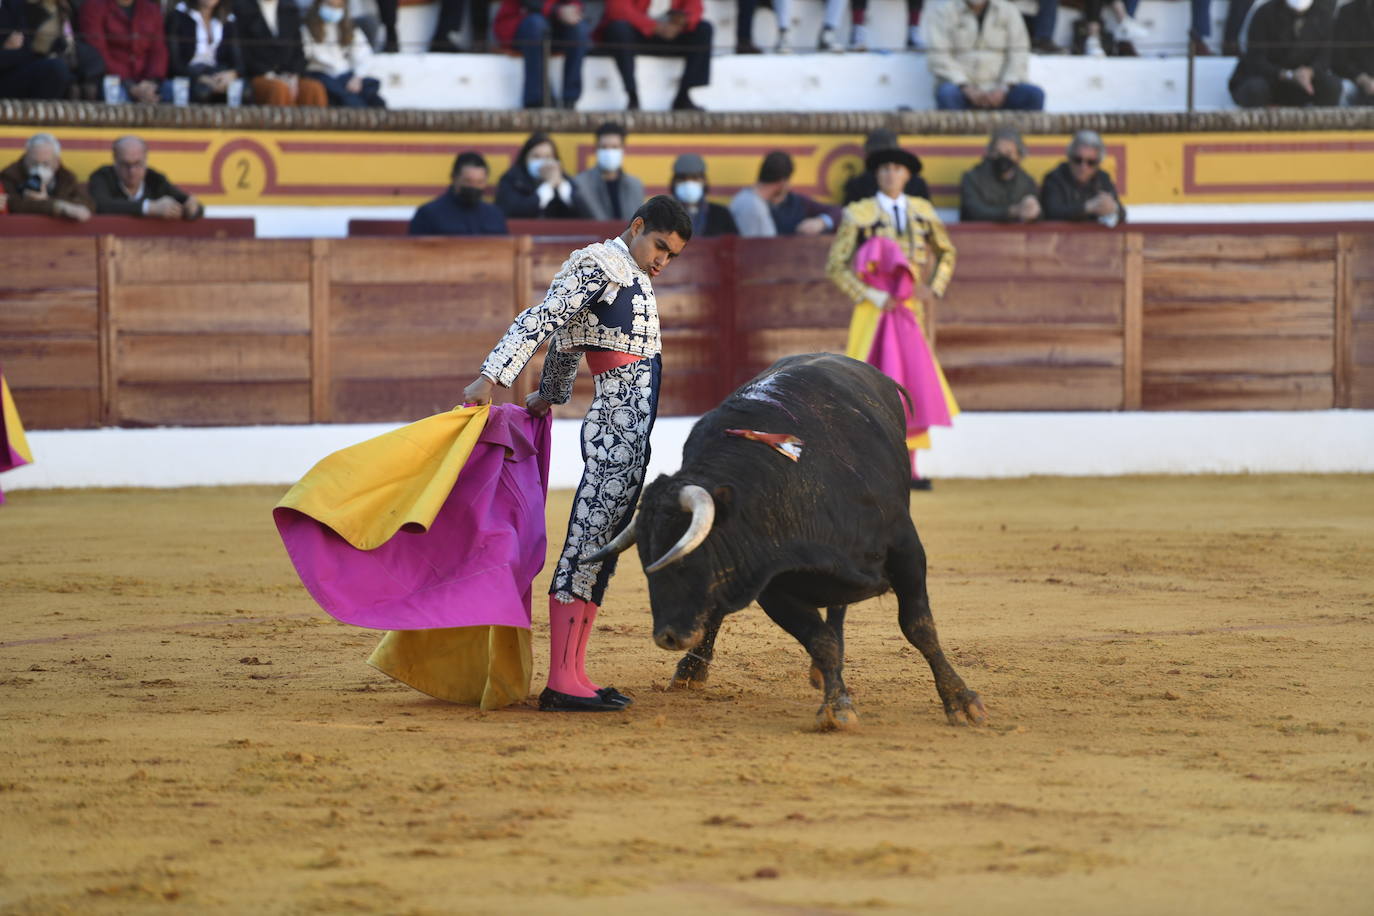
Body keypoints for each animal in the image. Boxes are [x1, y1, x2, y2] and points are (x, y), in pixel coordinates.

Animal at [599, 354, 989, 730]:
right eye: (646, 562)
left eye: (683, 558)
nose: (667, 636)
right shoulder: (771, 582)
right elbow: (820, 641)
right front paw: (837, 707)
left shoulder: (906, 549)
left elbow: (919, 626)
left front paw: (961, 701)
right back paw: (692, 671)